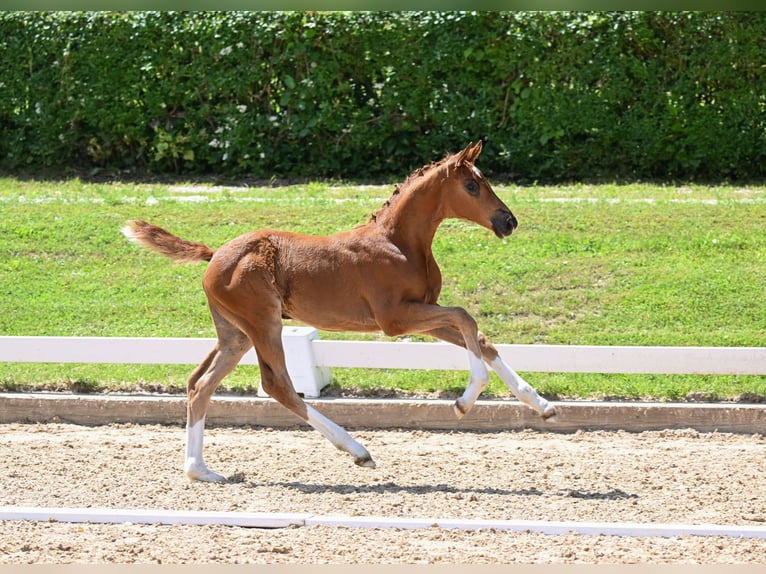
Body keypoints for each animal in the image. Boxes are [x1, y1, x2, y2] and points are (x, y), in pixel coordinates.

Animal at [122, 141, 557, 482]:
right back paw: (358, 450)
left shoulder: (424, 311)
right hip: (262, 323)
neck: (399, 243)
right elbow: (466, 317)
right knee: (277, 384)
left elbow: (479, 338)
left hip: (235, 333)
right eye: (471, 185)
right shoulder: (395, 319)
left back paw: (200, 470)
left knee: (200, 383)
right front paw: (465, 402)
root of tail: (215, 255)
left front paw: (543, 406)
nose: (508, 221)